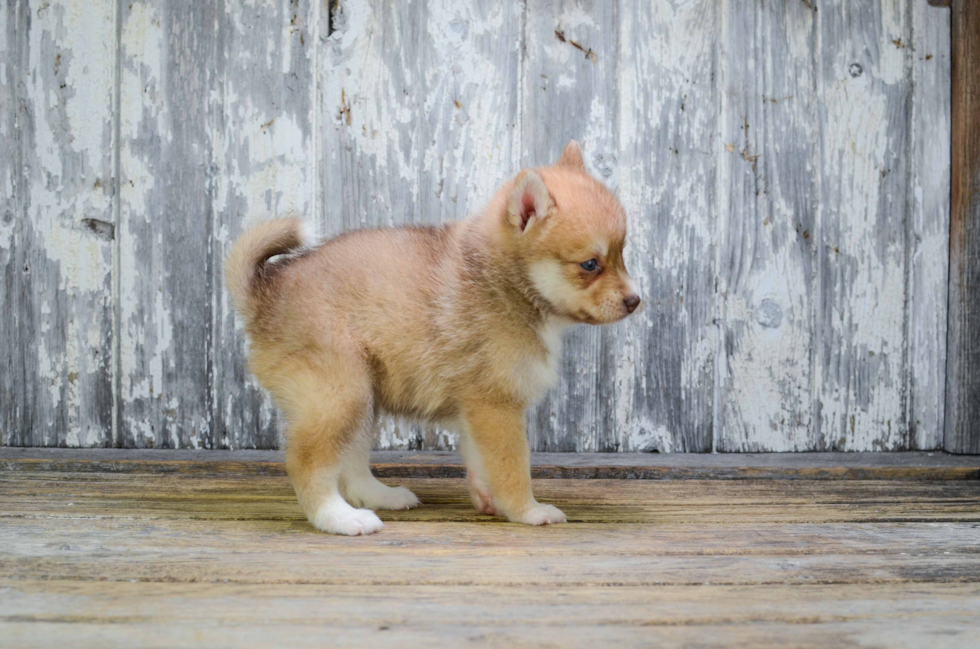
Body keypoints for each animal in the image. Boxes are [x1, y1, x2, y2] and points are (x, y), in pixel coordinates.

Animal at [225, 139, 640, 536]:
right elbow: (512, 468)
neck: (505, 282)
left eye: (621, 255)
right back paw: (340, 518)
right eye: (590, 264)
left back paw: (383, 497)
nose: (635, 301)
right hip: (338, 394)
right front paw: (527, 511)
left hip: (362, 397)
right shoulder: (497, 407)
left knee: (352, 466)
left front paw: (488, 500)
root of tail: (266, 290)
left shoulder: (478, 408)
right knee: (308, 463)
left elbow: (481, 461)